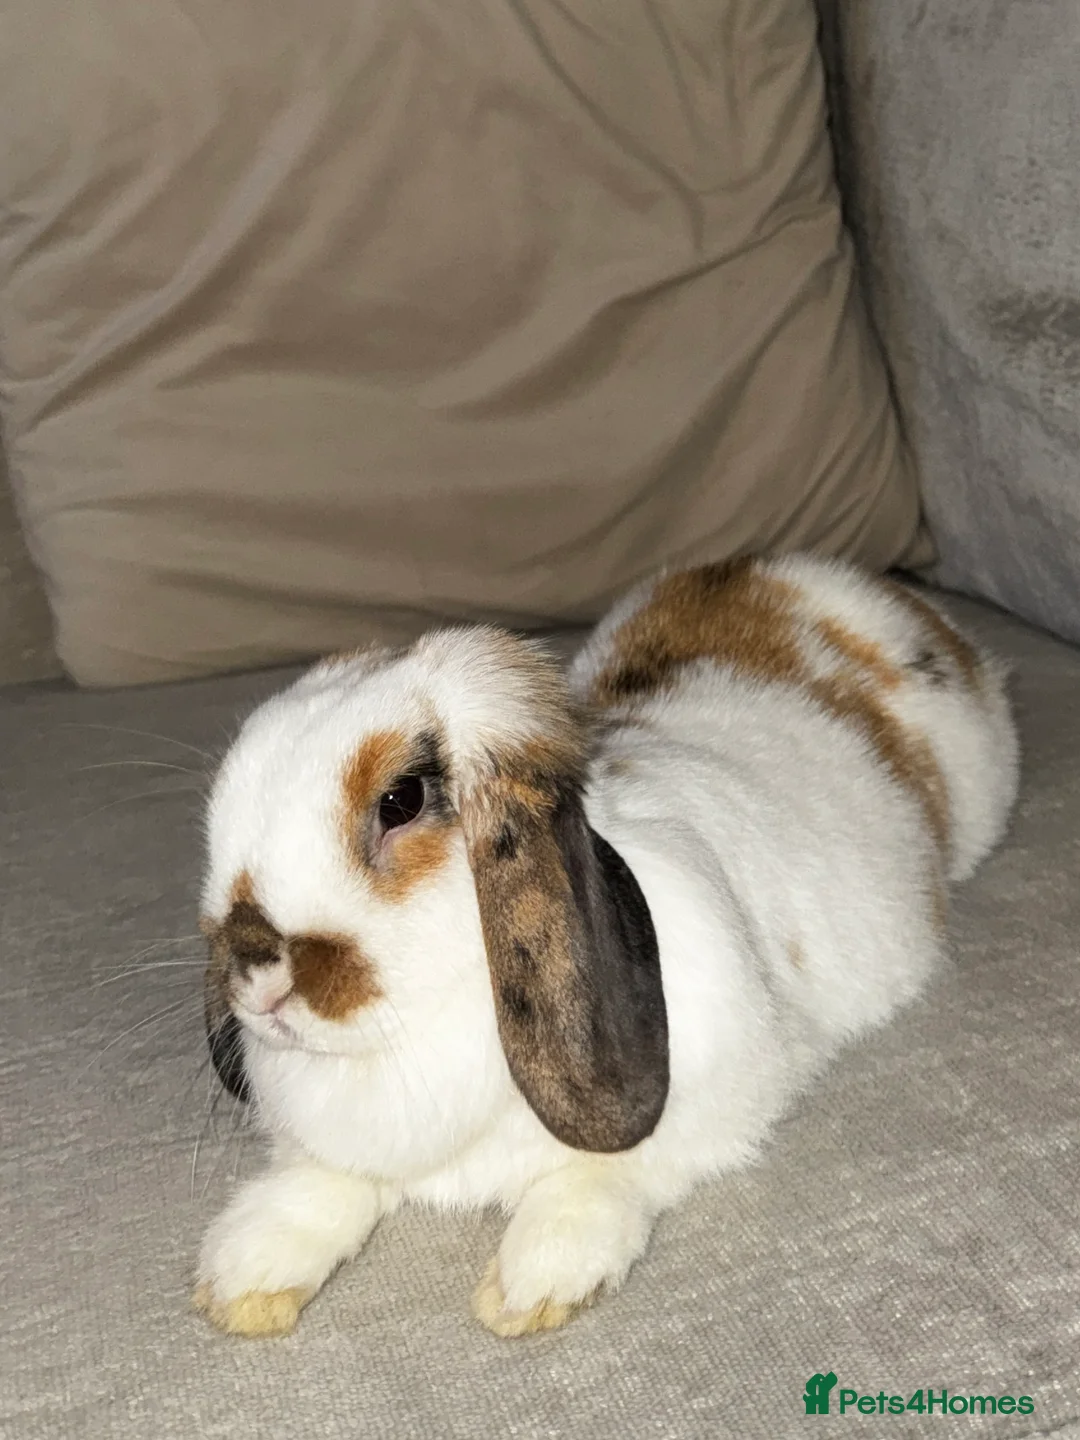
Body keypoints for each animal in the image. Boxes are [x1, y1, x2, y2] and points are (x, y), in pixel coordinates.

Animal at [192, 553, 1019, 1339]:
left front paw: (535, 1286)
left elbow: (605, 1175)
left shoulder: (711, 1101)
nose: (258, 975)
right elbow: (324, 1181)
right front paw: (244, 1279)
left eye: (401, 801)